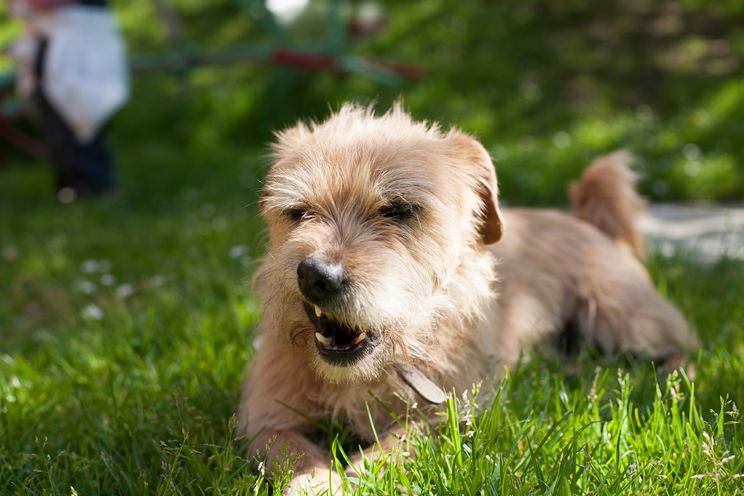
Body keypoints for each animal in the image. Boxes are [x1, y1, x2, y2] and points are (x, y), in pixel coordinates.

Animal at [238, 103, 696, 492]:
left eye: (400, 210)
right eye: (298, 212)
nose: (317, 276)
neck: (370, 371)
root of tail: (583, 221)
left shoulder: (454, 412)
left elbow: (397, 446)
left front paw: (355, 476)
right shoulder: (266, 418)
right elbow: (293, 452)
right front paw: (316, 482)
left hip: (624, 317)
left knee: (683, 347)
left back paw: (669, 379)